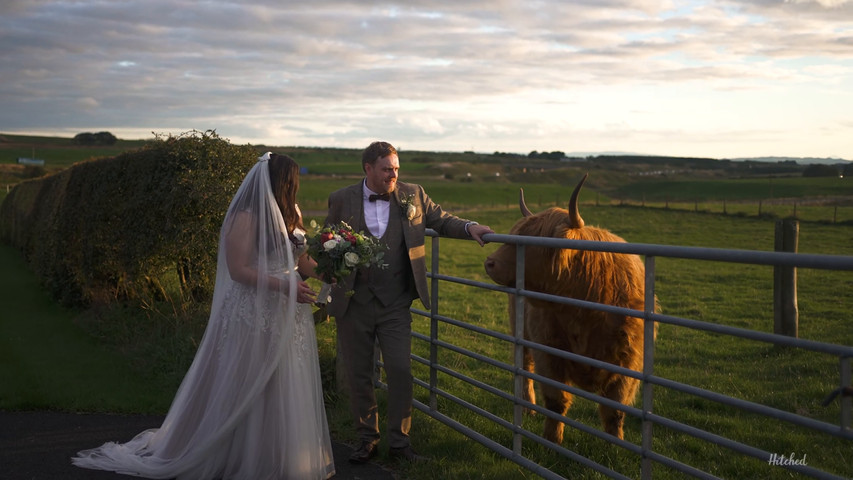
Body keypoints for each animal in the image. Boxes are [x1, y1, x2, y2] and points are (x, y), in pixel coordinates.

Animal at [482, 173, 656, 442]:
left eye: (534, 241)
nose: (490, 263)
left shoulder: (630, 360)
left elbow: (615, 410)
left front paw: (615, 444)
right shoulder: (548, 352)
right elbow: (556, 402)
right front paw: (552, 439)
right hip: (520, 329)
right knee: (524, 365)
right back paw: (527, 406)